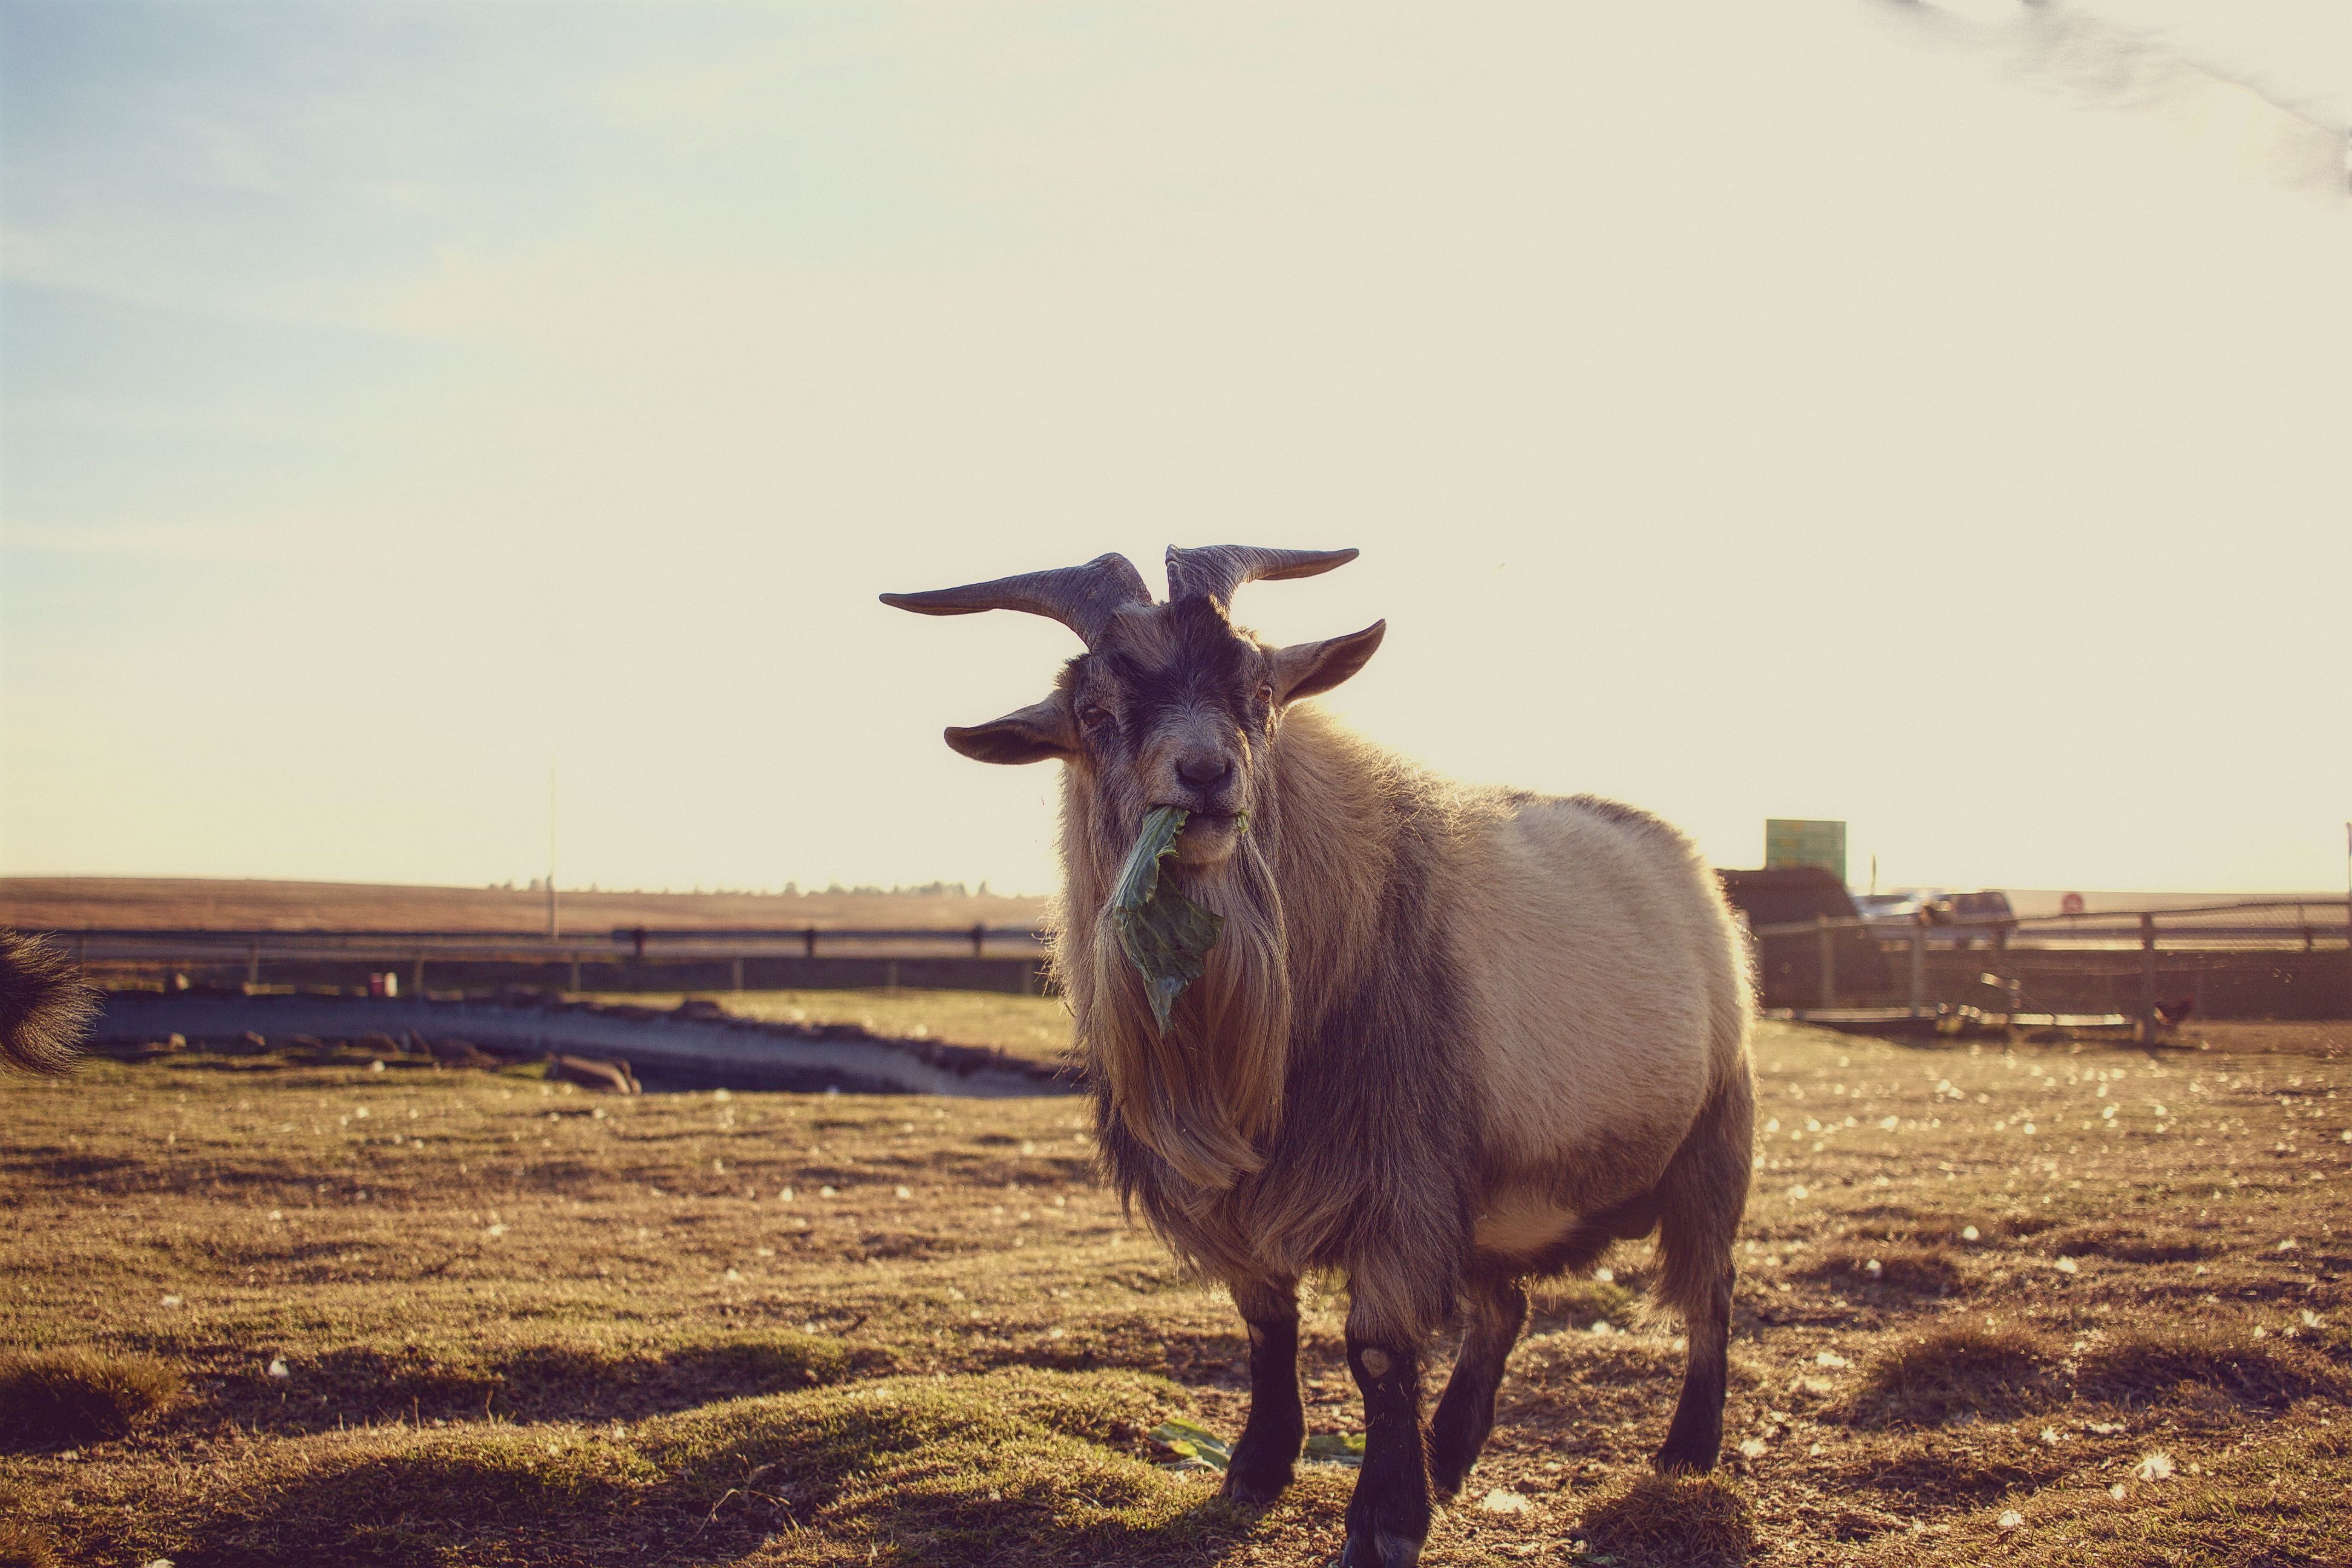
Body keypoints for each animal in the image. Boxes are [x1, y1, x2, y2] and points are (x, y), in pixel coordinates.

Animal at [885, 547, 1753, 1568]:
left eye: (1260, 690)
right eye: (1095, 712)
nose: (1207, 773)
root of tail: (1688, 865)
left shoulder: (1400, 1179)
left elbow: (1375, 1348)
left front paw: (1385, 1519)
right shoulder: (1258, 1199)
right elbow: (1267, 1324)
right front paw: (1258, 1469)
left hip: (1711, 1141)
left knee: (1710, 1292)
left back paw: (1687, 1449)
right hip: (1496, 1190)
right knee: (1505, 1310)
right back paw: (1453, 1452)